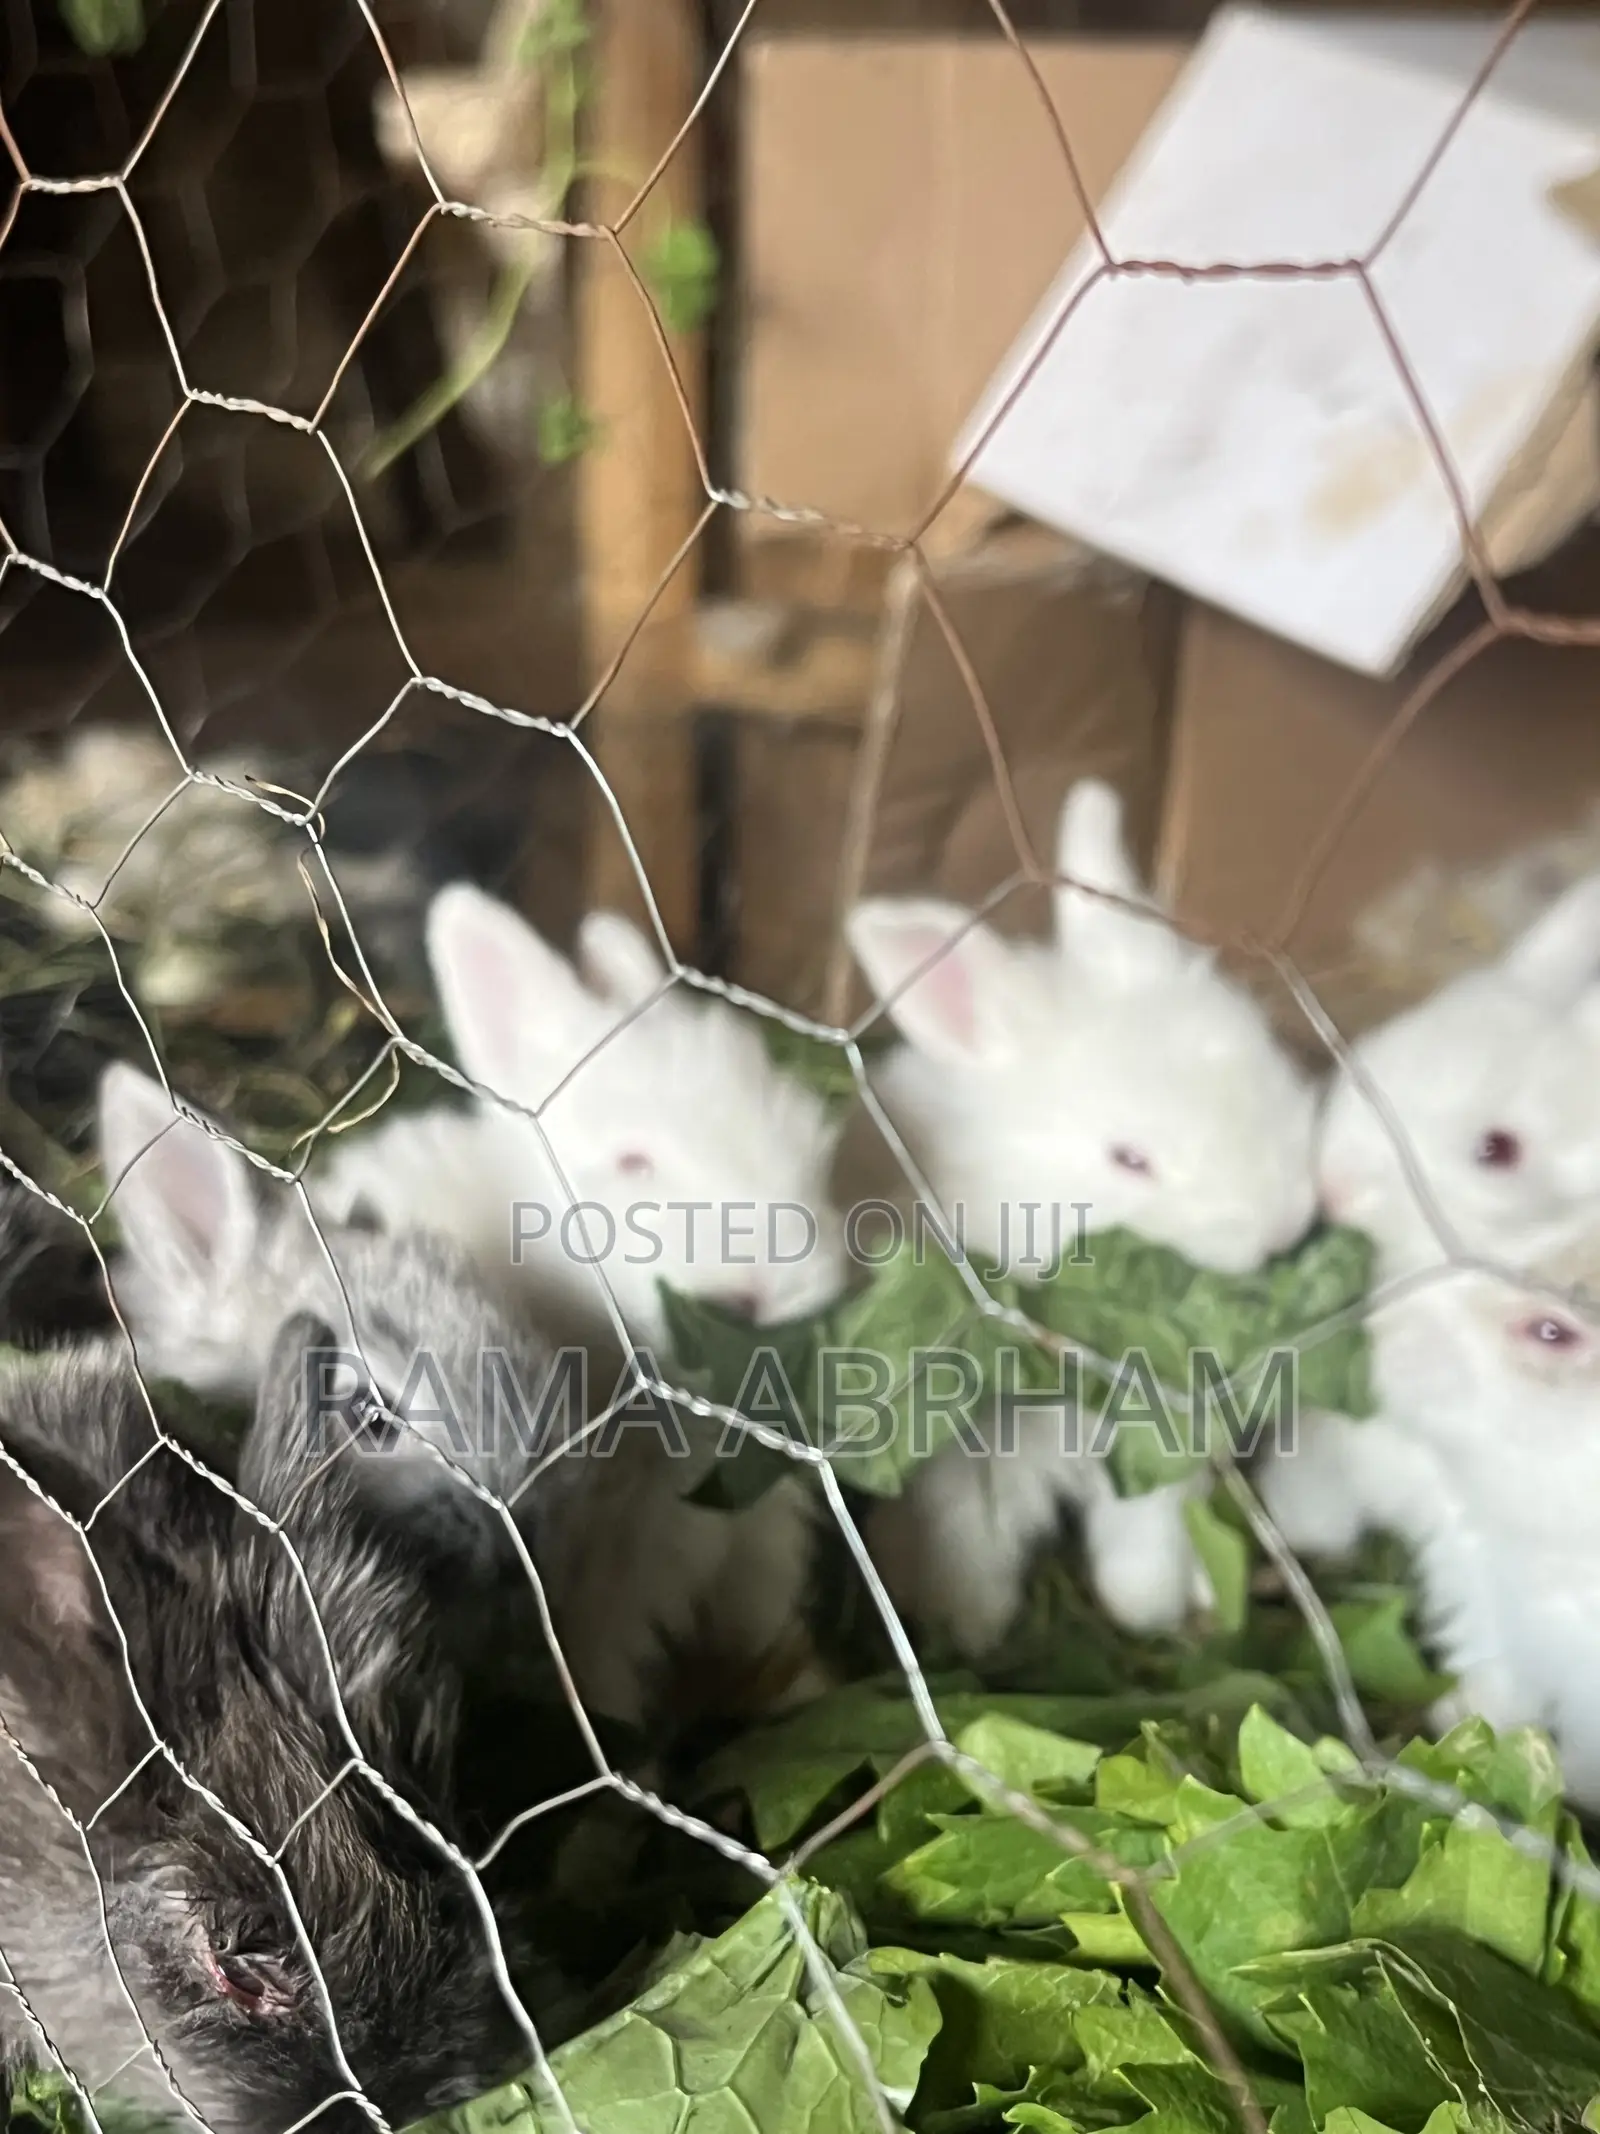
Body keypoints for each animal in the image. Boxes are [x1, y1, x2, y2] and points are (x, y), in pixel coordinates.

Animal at [844, 778, 1320, 1657]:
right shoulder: (969, 1457)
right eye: (1129, 1159)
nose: (1283, 1225)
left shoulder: (1158, 1451)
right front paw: (972, 1633)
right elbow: (973, 1540)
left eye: (1264, 1058)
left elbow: (1146, 1539)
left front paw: (1148, 1614)